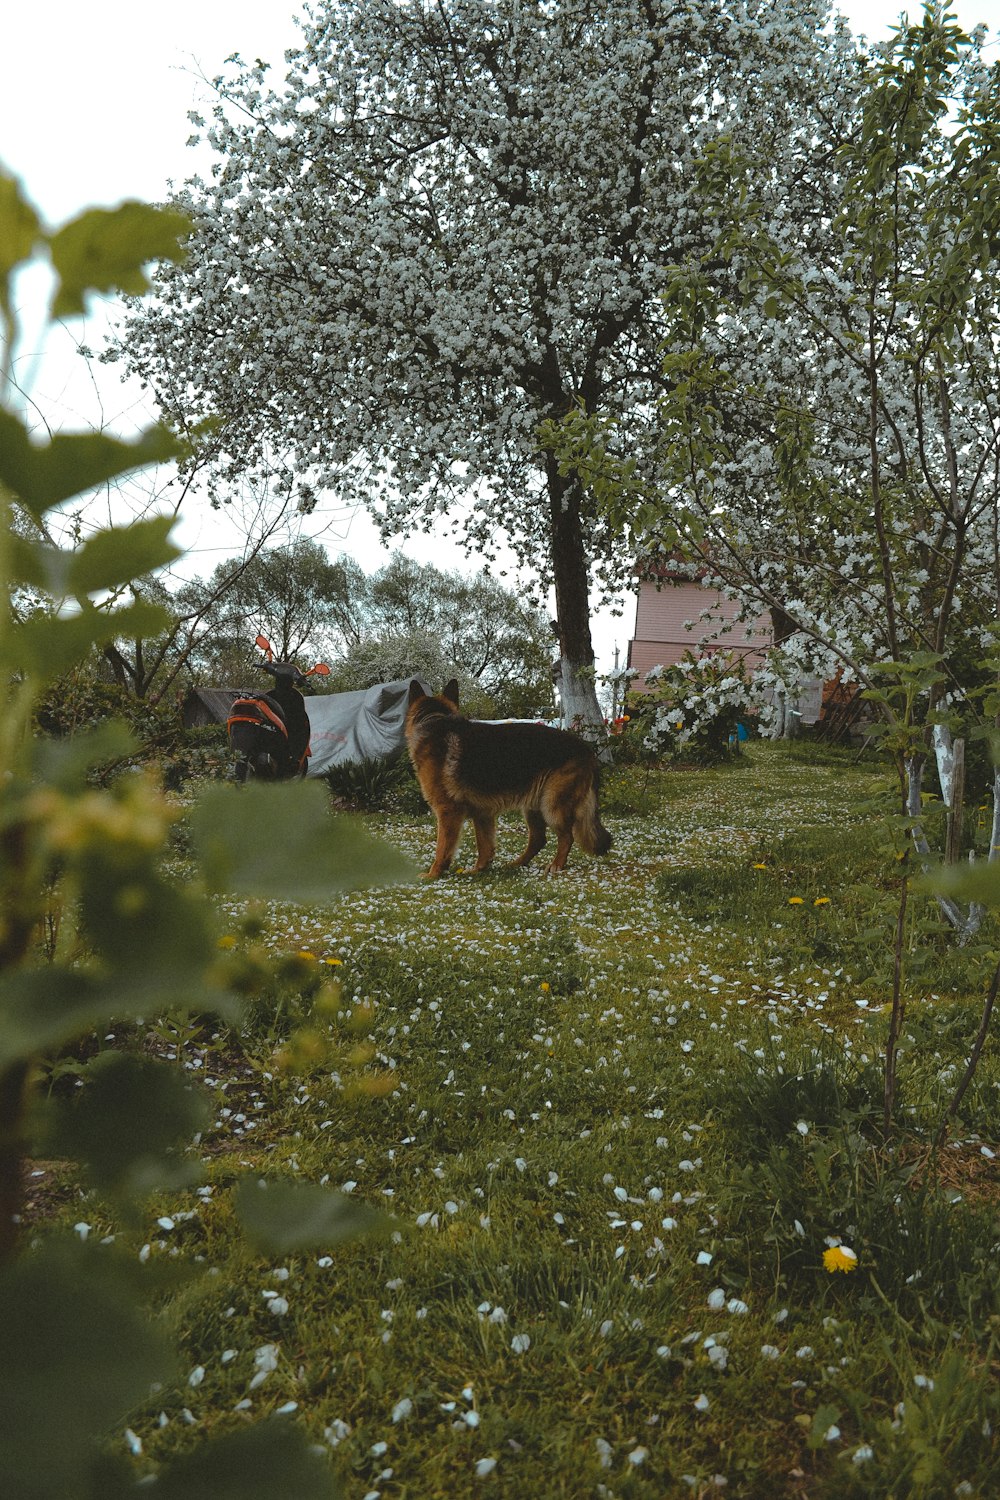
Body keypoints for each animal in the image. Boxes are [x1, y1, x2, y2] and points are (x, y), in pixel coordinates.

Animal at [404, 684, 611, 876]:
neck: (435, 719)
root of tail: (586, 749)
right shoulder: (483, 815)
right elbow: (485, 847)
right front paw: (479, 870)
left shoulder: (448, 812)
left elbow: (443, 848)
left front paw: (433, 874)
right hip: (533, 807)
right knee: (538, 840)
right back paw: (517, 864)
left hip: (551, 806)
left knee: (567, 836)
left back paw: (556, 865)